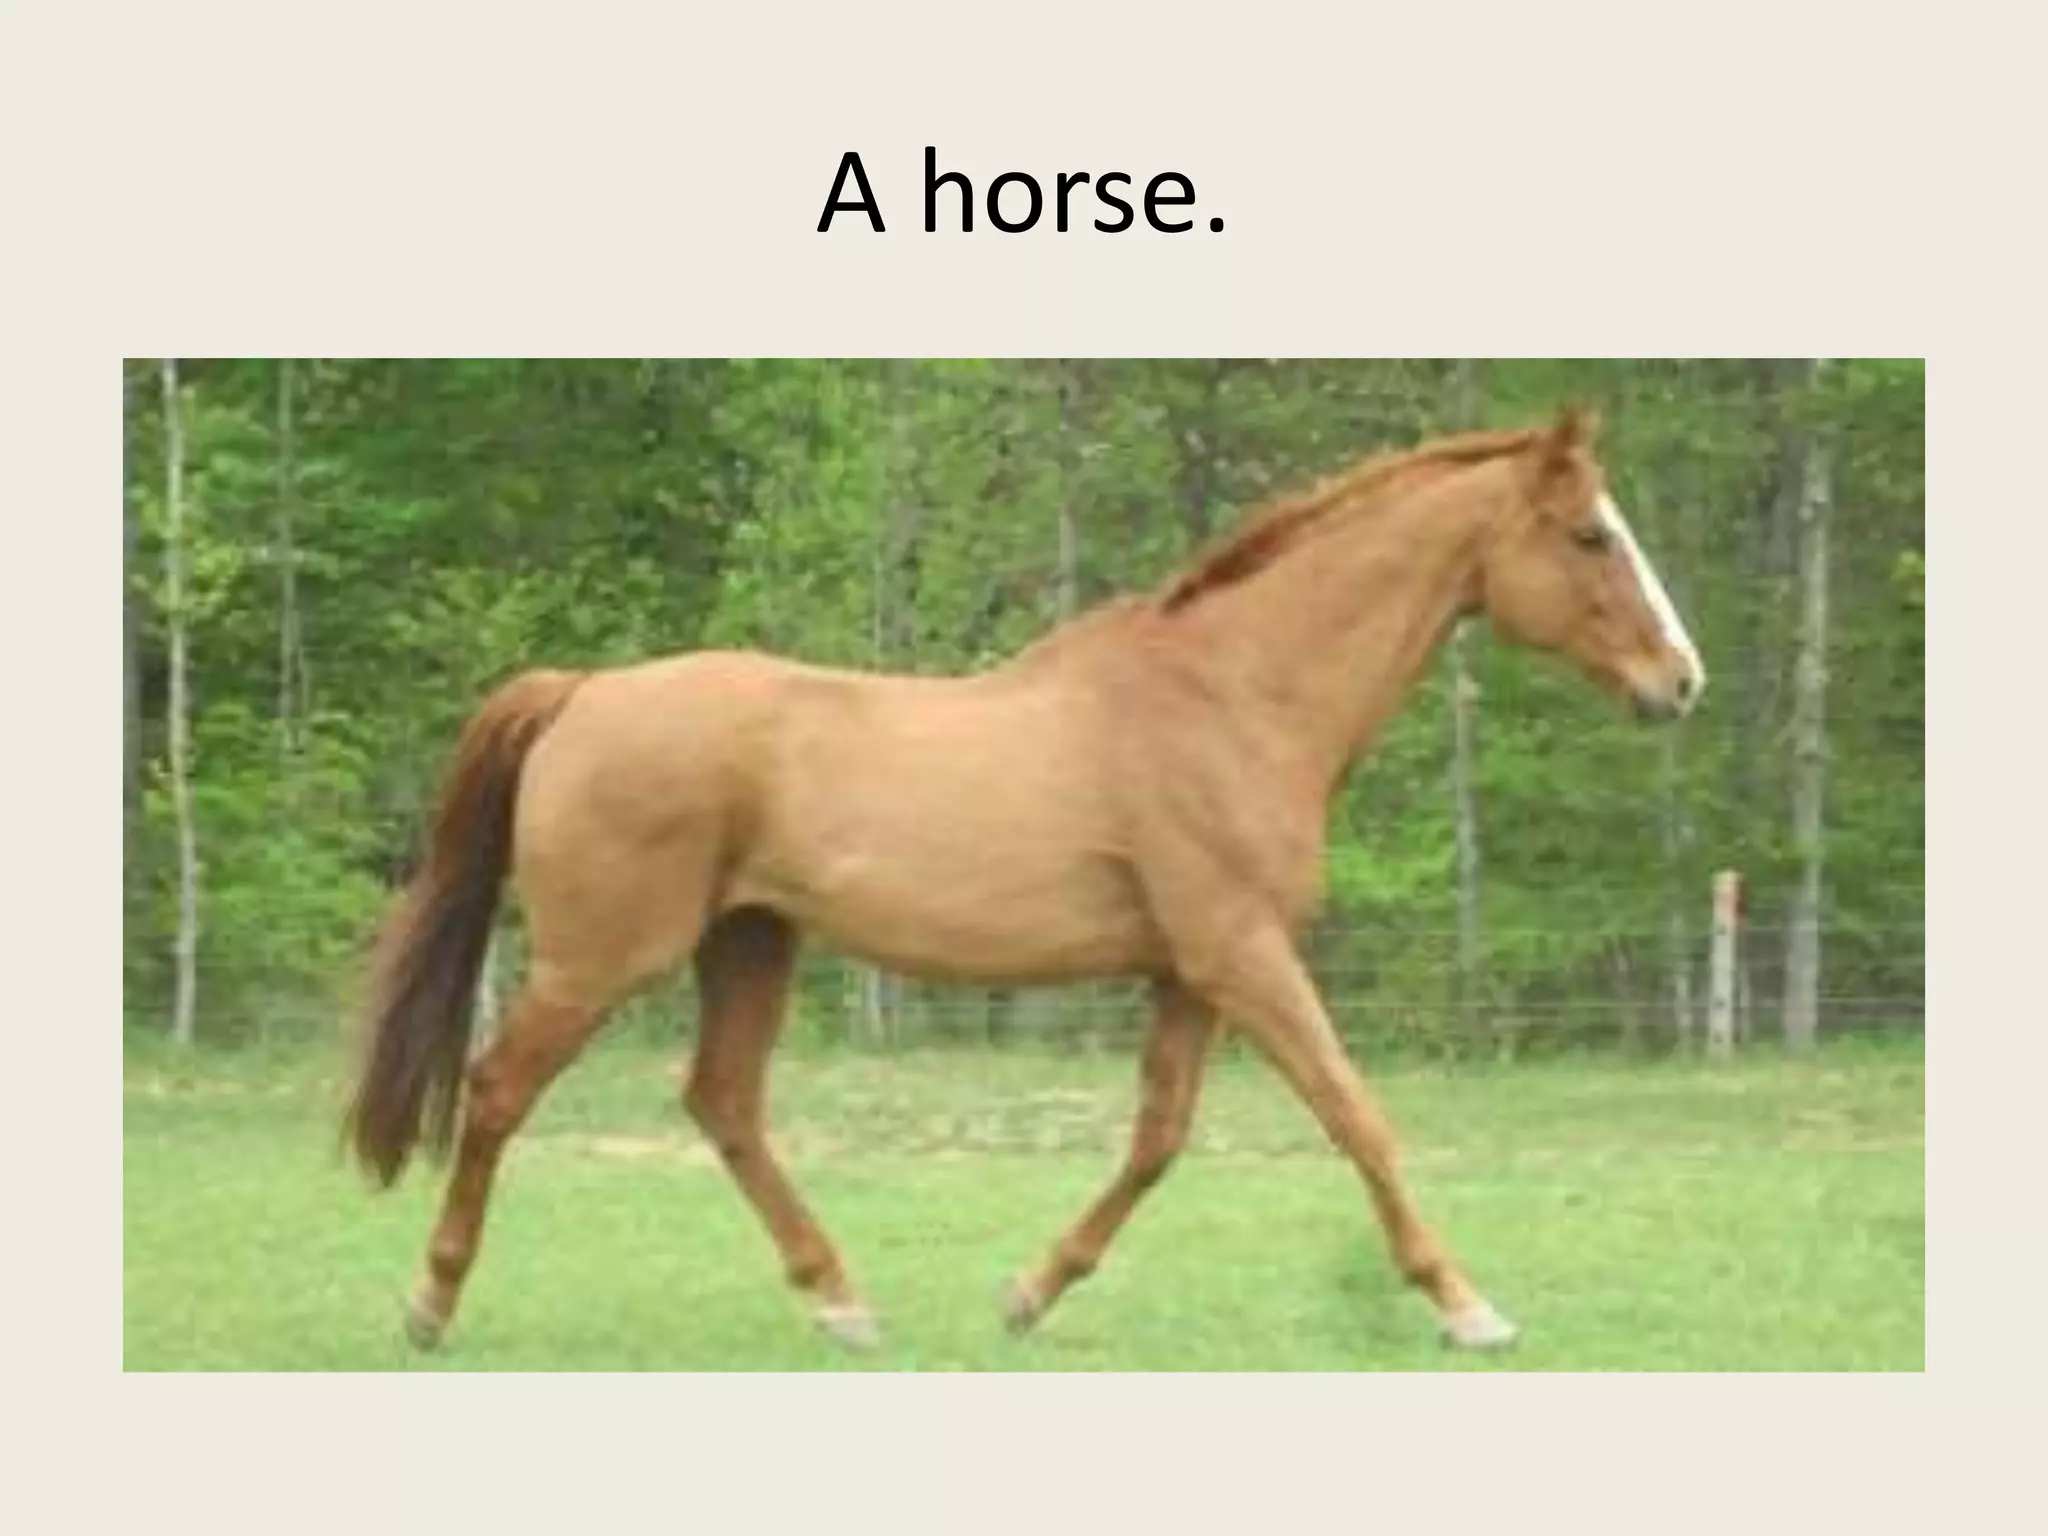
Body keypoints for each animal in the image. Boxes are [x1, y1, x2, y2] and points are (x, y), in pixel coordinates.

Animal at [342, 405, 1705, 1356]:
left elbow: (1157, 1140)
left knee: (722, 1104)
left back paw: (842, 1303)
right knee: (497, 1091)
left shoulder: (1189, 971)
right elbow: (1353, 1115)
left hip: (751, 943)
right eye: (1590, 534)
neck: (1231, 697)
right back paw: (428, 1303)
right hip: (600, 959)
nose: (1678, 682)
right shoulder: (1243, 953)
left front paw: (1029, 1292)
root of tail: (580, 693)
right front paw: (1466, 1305)